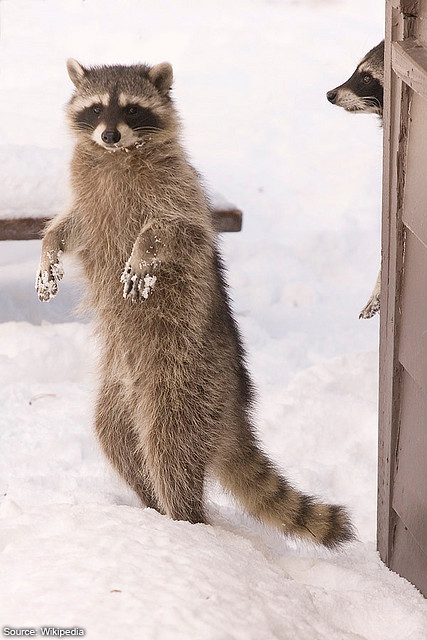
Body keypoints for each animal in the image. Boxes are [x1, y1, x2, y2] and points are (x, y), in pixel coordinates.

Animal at [36, 59, 354, 548]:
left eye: (131, 108)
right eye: (95, 109)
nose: (109, 135)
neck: (116, 156)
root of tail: (234, 408)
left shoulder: (178, 189)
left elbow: (174, 228)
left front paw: (142, 250)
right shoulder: (89, 197)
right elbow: (70, 225)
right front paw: (49, 248)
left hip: (185, 380)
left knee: (170, 447)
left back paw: (186, 523)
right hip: (123, 391)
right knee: (118, 439)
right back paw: (152, 507)